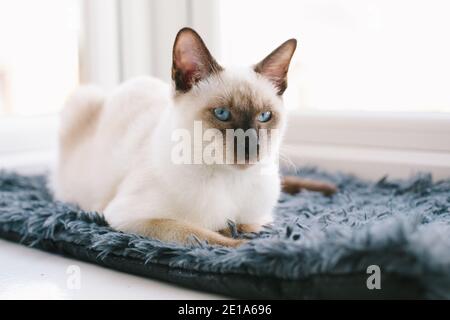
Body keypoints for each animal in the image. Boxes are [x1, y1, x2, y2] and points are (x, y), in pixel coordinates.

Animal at [51, 27, 336, 248]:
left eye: (265, 116)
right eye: (222, 114)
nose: (251, 147)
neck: (230, 181)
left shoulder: (260, 218)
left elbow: (246, 226)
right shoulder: (129, 217)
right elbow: (207, 236)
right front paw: (251, 248)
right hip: (83, 96)